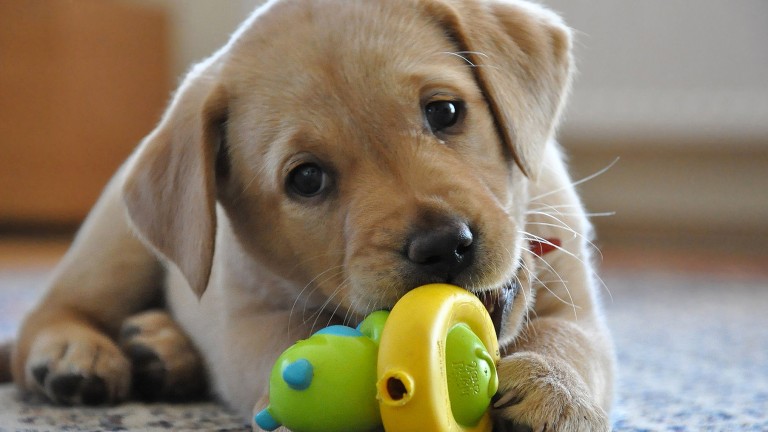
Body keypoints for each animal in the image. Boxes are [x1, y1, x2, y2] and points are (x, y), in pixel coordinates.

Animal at [12, 0, 616, 430]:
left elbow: (566, 339)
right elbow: (286, 348)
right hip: (115, 245)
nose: (444, 245)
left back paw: (160, 350)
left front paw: (552, 389)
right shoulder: (249, 321)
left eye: (445, 111)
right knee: (45, 317)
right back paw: (76, 354)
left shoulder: (575, 299)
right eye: (306, 179)